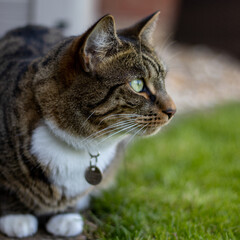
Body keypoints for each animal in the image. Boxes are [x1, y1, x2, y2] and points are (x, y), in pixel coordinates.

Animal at [0, 12, 176, 237]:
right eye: (137, 85)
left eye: (164, 81)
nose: (173, 110)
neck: (83, 144)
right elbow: (7, 189)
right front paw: (16, 216)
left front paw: (67, 215)